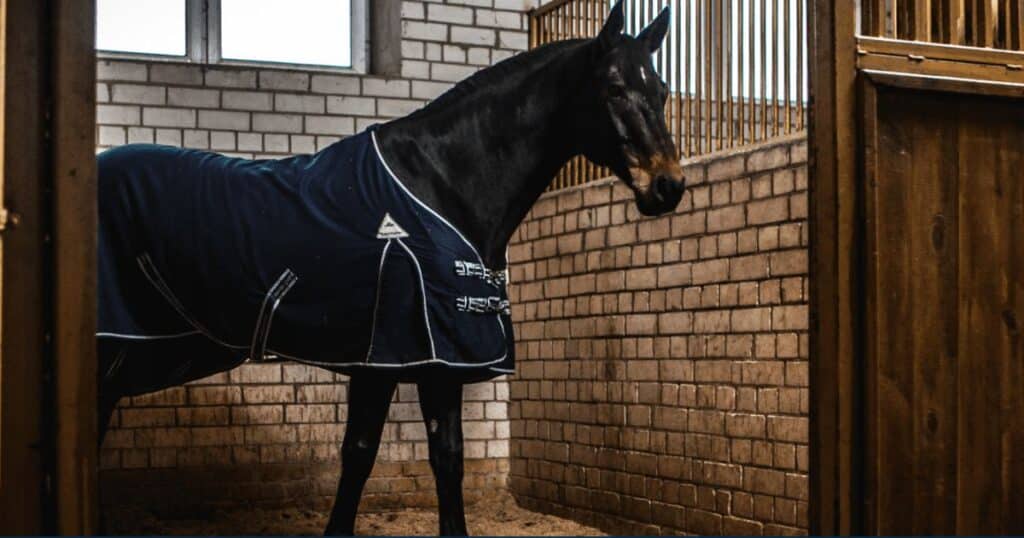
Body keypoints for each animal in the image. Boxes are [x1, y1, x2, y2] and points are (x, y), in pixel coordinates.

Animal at [95, 2, 685, 535]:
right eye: (613, 88)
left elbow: (405, 455)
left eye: (661, 91)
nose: (669, 186)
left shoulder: (408, 362)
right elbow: (401, 459)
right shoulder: (412, 357)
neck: (442, 185)